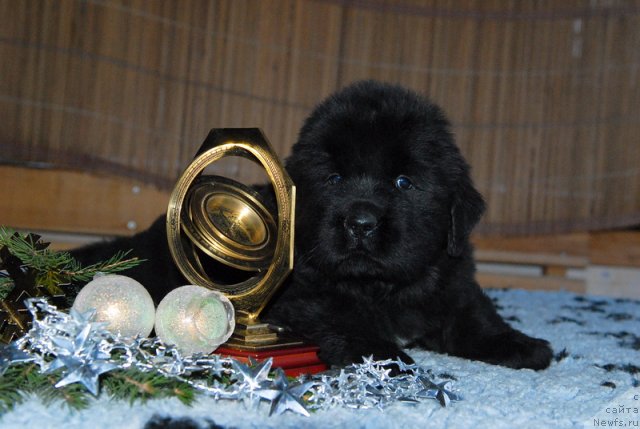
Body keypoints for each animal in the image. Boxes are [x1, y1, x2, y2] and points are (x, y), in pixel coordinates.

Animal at [72, 82, 552, 370]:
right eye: (334, 179)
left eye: (404, 182)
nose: (361, 223)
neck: (380, 288)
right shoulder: (305, 297)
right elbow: (344, 318)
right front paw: (387, 358)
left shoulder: (452, 280)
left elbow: (475, 315)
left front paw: (521, 344)